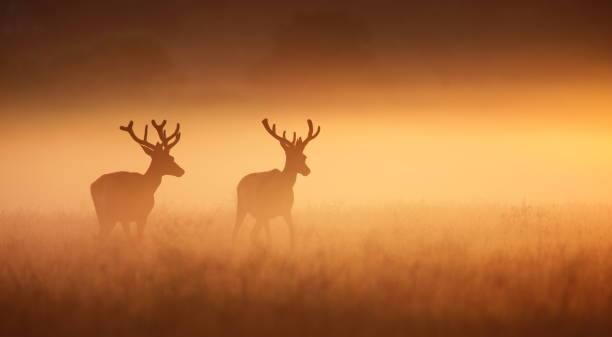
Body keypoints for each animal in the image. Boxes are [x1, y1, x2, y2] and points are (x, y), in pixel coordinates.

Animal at [233, 118, 320, 247]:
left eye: (304, 156)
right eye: (293, 157)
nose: (307, 171)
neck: (286, 182)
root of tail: (241, 185)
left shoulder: (281, 212)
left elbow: (290, 234)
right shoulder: (285, 210)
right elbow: (290, 235)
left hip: (245, 208)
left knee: (237, 232)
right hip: (258, 210)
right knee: (250, 234)